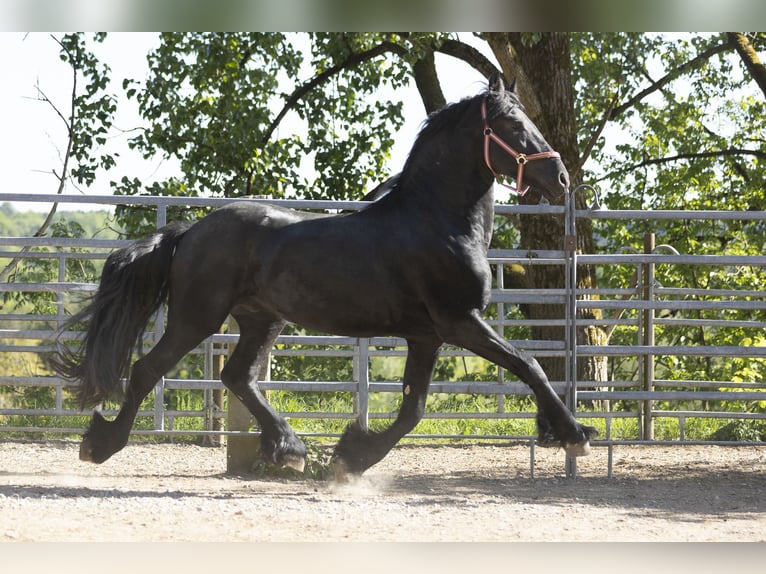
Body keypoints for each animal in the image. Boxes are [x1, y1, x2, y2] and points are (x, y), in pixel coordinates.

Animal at [51, 73, 597, 477]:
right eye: (512, 123)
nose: (560, 178)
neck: (438, 220)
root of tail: (190, 231)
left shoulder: (426, 335)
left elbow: (413, 409)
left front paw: (351, 457)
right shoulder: (459, 321)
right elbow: (529, 365)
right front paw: (574, 435)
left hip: (262, 319)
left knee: (237, 376)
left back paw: (289, 449)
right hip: (197, 318)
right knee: (149, 370)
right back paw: (100, 445)